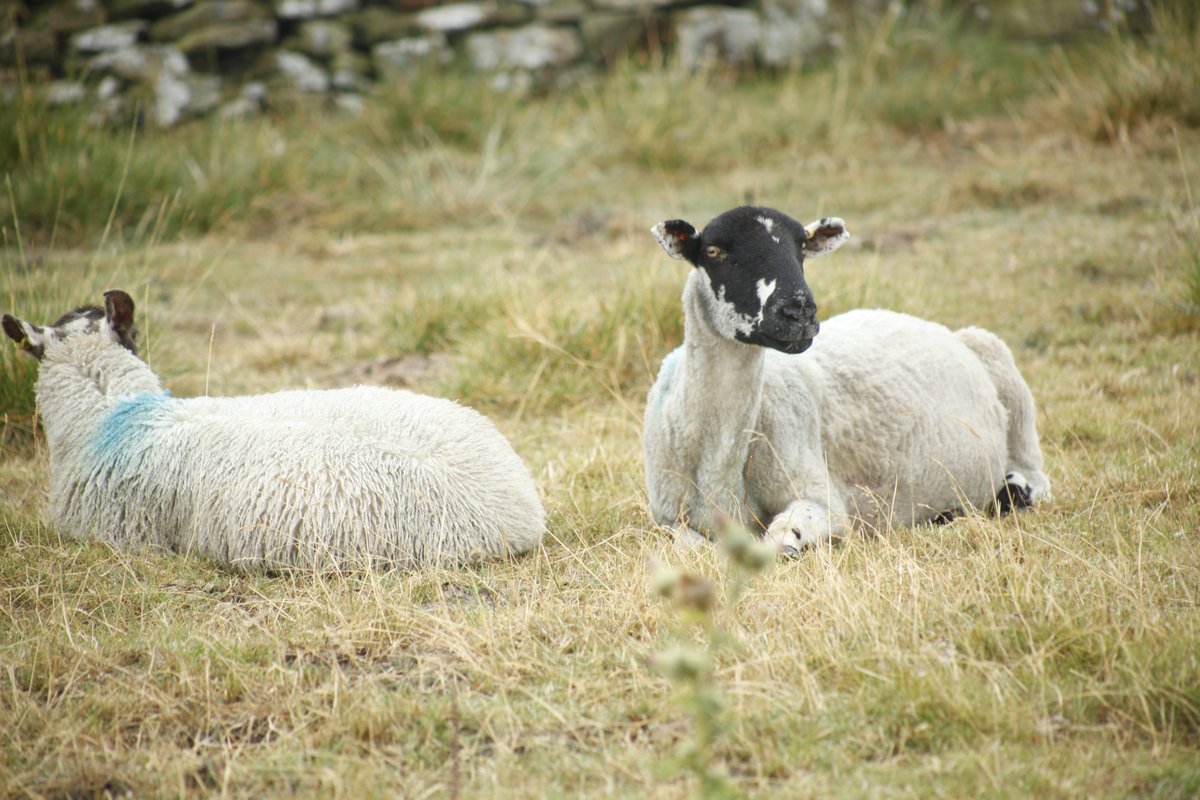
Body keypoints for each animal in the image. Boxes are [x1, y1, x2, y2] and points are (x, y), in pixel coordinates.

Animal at [643, 206, 1050, 553]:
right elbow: (682, 541)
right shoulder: (666, 519)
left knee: (1036, 473)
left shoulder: (822, 498)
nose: (799, 311)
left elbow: (782, 539)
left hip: (1002, 371)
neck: (717, 459)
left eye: (801, 250)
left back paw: (1013, 491)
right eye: (714, 251)